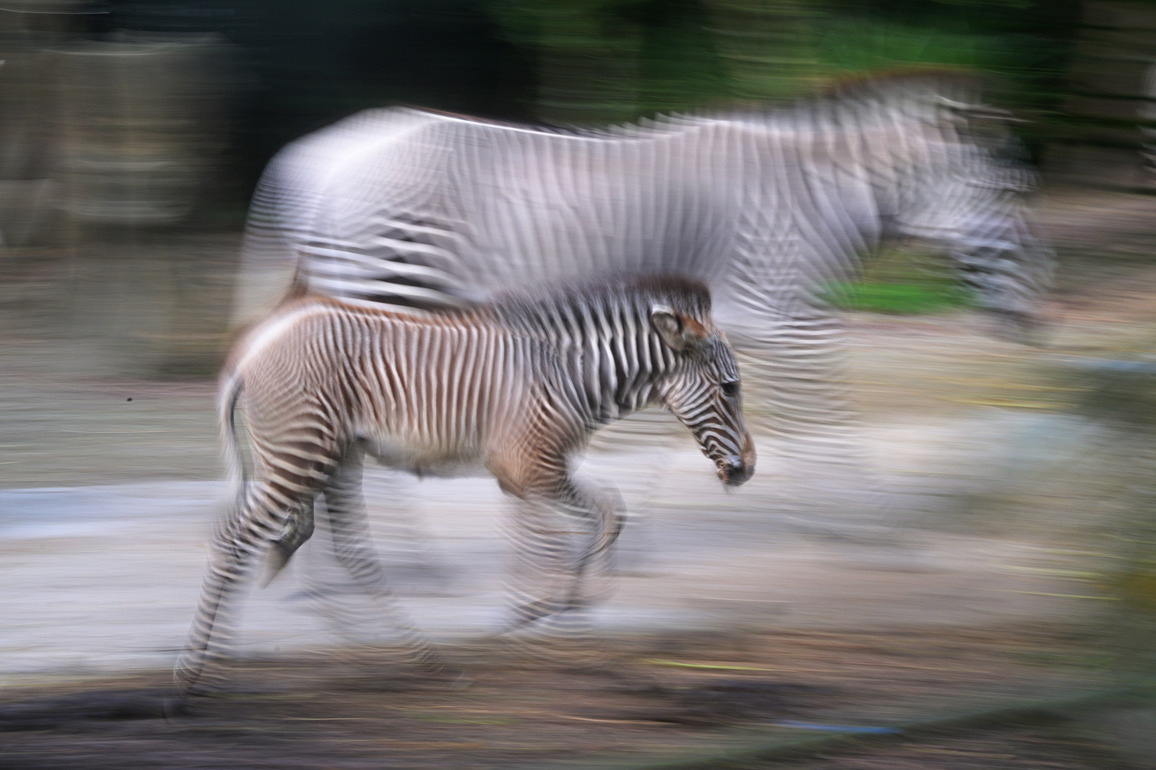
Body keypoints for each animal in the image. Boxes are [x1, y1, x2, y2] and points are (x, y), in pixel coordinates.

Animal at [175, 274, 754, 693]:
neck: (570, 377)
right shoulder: (531, 469)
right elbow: (572, 531)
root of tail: (254, 350)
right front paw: (549, 614)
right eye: (730, 389)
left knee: (347, 550)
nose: (748, 468)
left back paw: (417, 658)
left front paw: (556, 610)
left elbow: (600, 516)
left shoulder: (529, 475)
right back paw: (197, 673)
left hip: (333, 457)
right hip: (302, 455)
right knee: (234, 538)